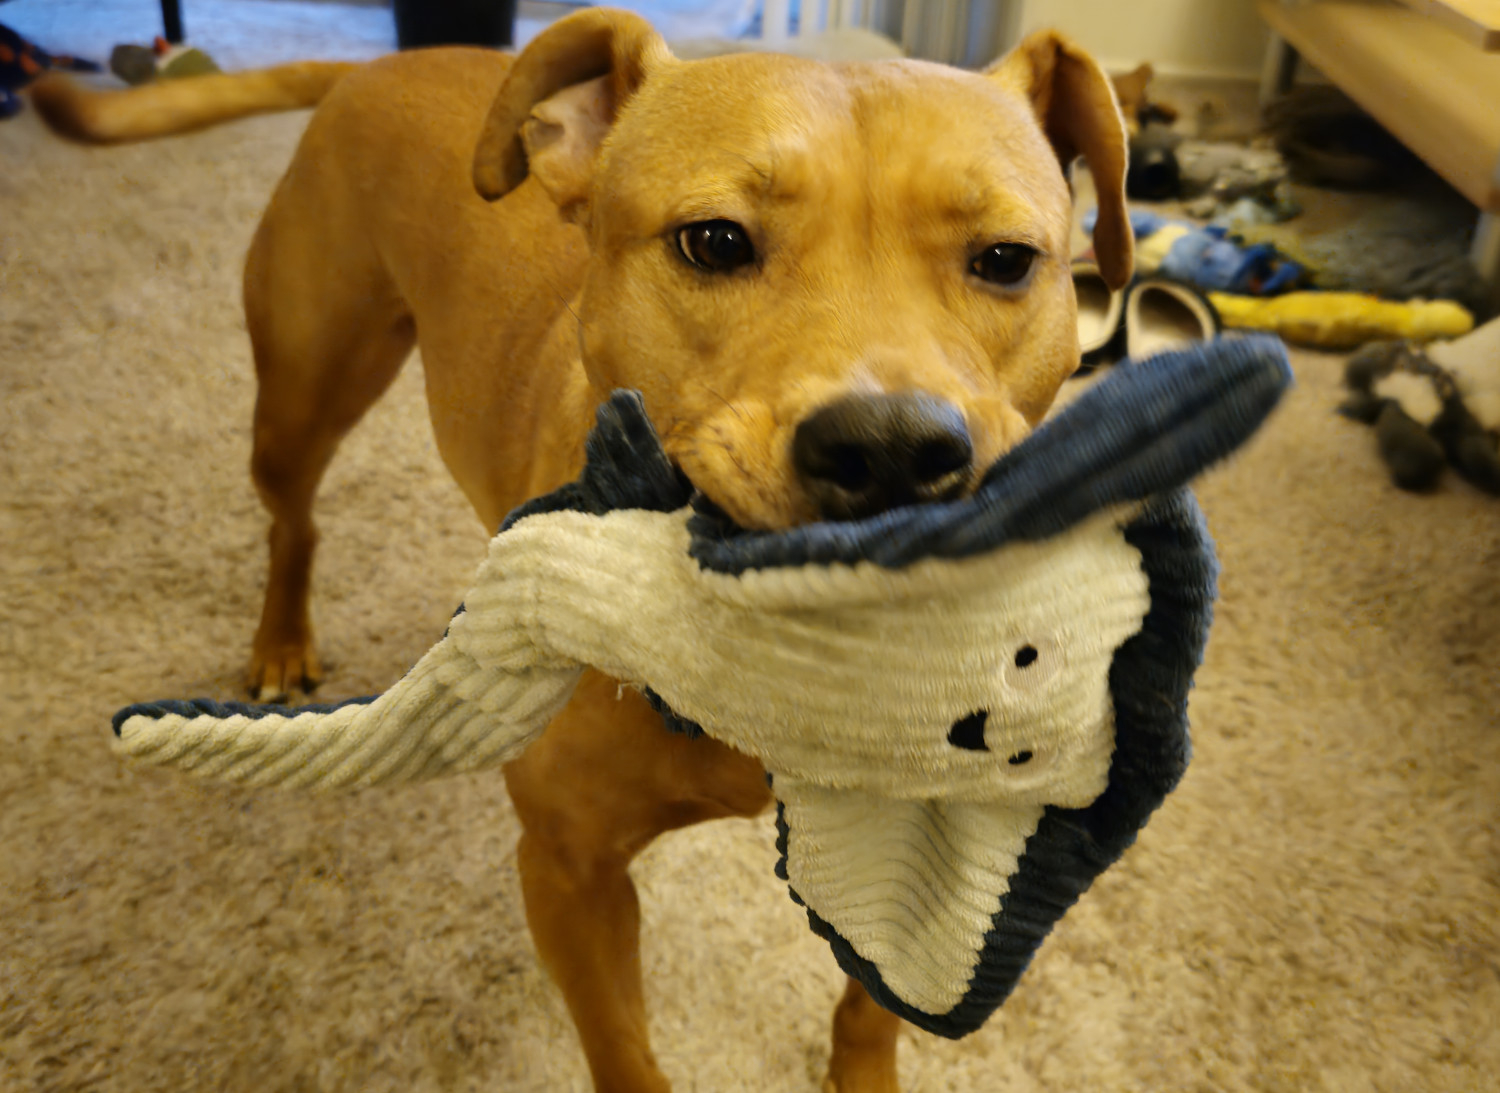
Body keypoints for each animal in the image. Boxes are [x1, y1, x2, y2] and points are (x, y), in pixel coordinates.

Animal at [32, 12, 1128, 1085]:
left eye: (1006, 260)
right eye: (713, 241)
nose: (893, 447)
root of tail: (375, 65)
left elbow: (871, 1010)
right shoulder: (569, 874)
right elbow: (625, 1055)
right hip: (305, 390)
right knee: (292, 520)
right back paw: (280, 640)